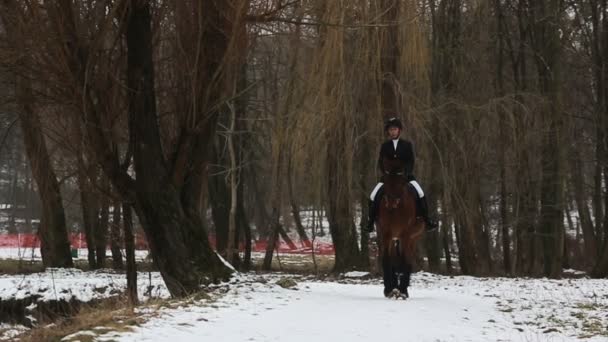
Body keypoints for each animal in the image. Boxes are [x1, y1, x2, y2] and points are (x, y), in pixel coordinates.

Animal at [378, 158, 426, 300]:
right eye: (386, 180)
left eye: (400, 181)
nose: (390, 203)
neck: (396, 210)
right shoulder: (386, 234)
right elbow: (386, 259)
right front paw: (389, 289)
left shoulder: (406, 235)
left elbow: (405, 259)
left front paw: (402, 291)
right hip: (395, 238)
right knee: (394, 259)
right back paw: (394, 286)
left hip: (412, 238)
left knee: (409, 258)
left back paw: (403, 289)